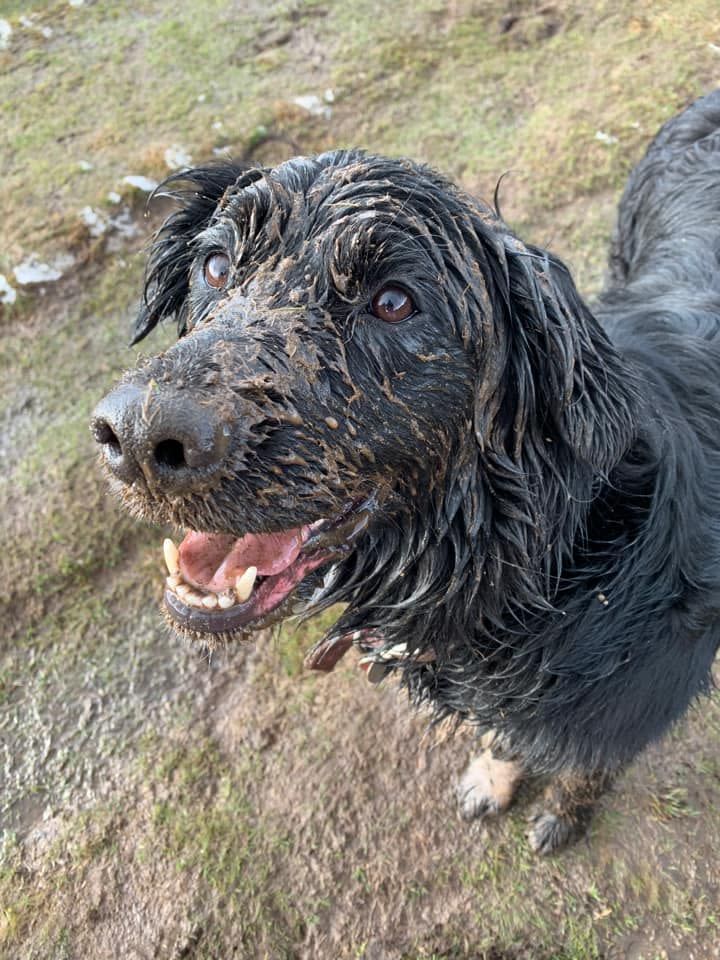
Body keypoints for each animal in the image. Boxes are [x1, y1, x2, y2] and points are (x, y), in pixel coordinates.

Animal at [91, 92, 720, 856]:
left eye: (394, 302)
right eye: (214, 266)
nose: (137, 435)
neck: (536, 568)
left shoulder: (630, 704)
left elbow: (582, 768)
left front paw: (562, 815)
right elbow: (507, 738)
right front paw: (494, 778)